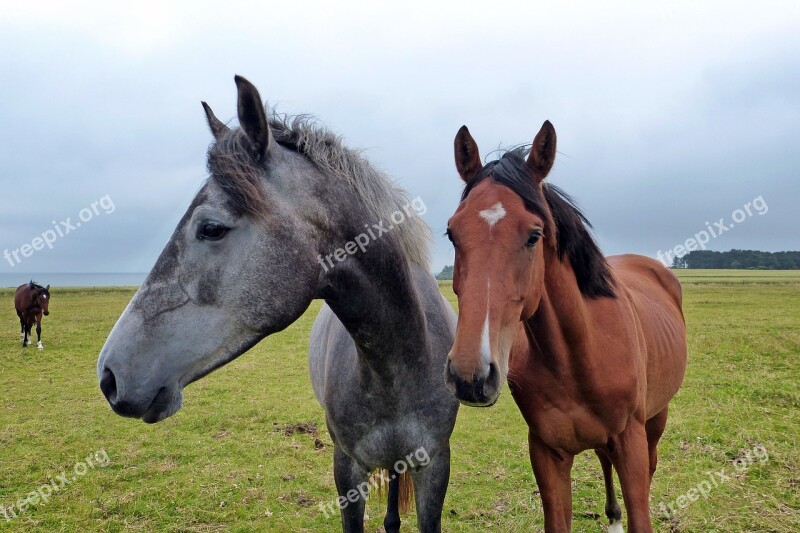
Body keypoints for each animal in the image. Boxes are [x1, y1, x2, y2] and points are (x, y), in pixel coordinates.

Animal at [444, 121, 688, 532]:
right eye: (452, 233)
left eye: (534, 235)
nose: (470, 375)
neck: (580, 355)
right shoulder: (547, 453)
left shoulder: (631, 443)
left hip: (656, 420)